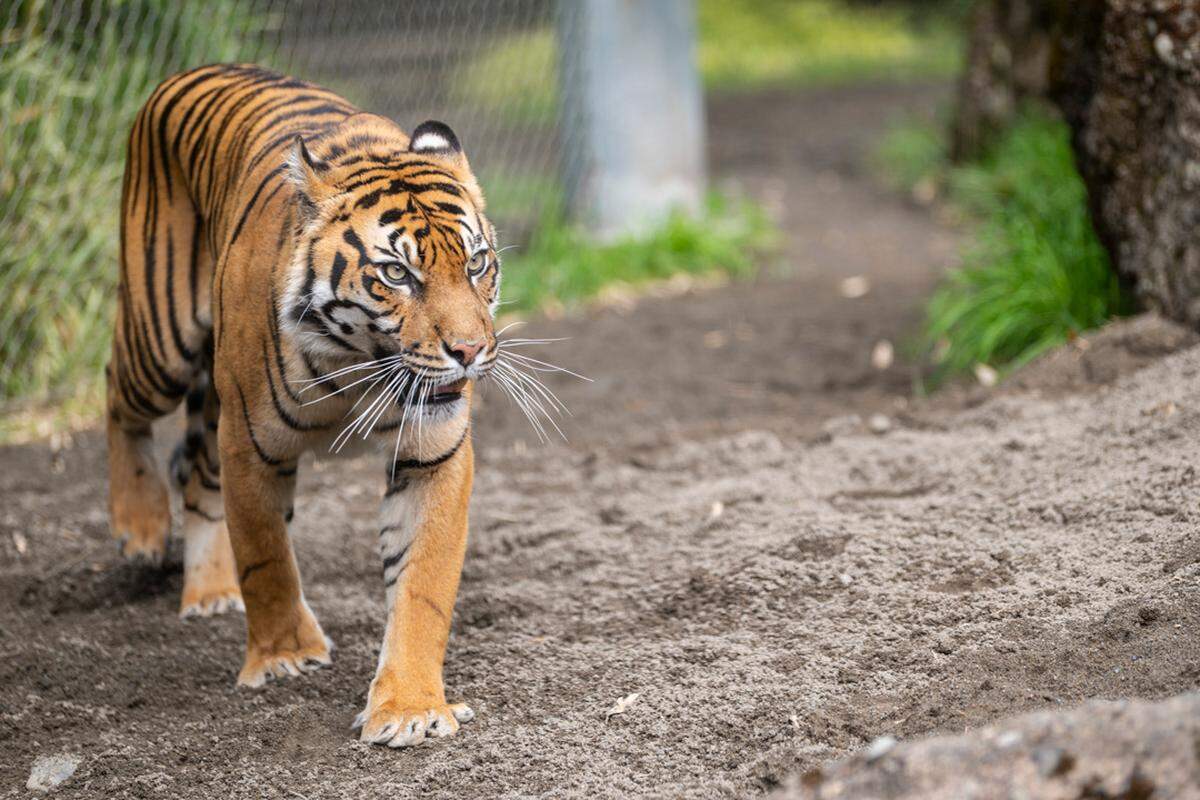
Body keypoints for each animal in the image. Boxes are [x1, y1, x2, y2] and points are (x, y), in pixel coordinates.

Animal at [105, 63, 502, 747]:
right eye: (397, 275)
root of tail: (188, 72)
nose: (470, 351)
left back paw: (209, 592)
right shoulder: (249, 444)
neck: (360, 365)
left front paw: (409, 707)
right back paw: (139, 526)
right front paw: (284, 655)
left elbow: (422, 584)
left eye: (476, 264)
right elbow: (265, 556)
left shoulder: (434, 453)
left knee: (199, 481)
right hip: (160, 342)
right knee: (115, 390)